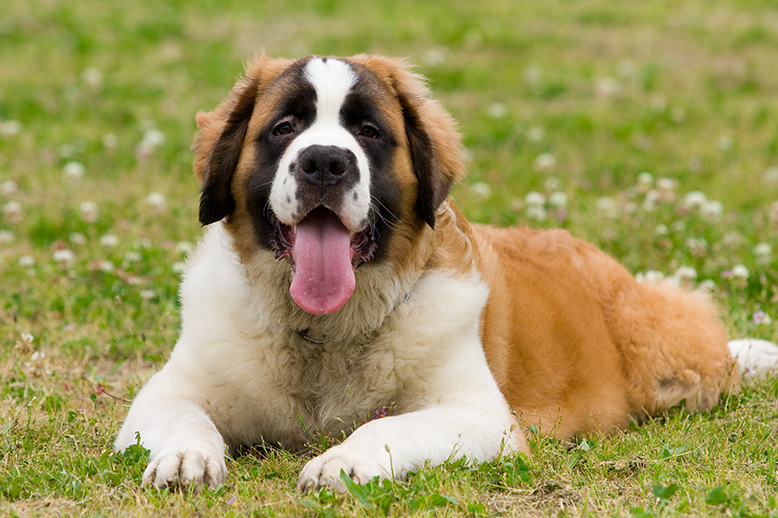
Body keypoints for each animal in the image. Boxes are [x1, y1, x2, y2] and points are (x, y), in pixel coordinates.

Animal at [113, 54, 776, 494]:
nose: (324, 162)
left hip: (670, 364)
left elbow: (391, 429)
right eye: (284, 128)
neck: (324, 333)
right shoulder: (167, 391)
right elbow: (183, 415)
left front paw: (341, 461)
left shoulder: (480, 419)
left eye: (368, 131)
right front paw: (186, 457)